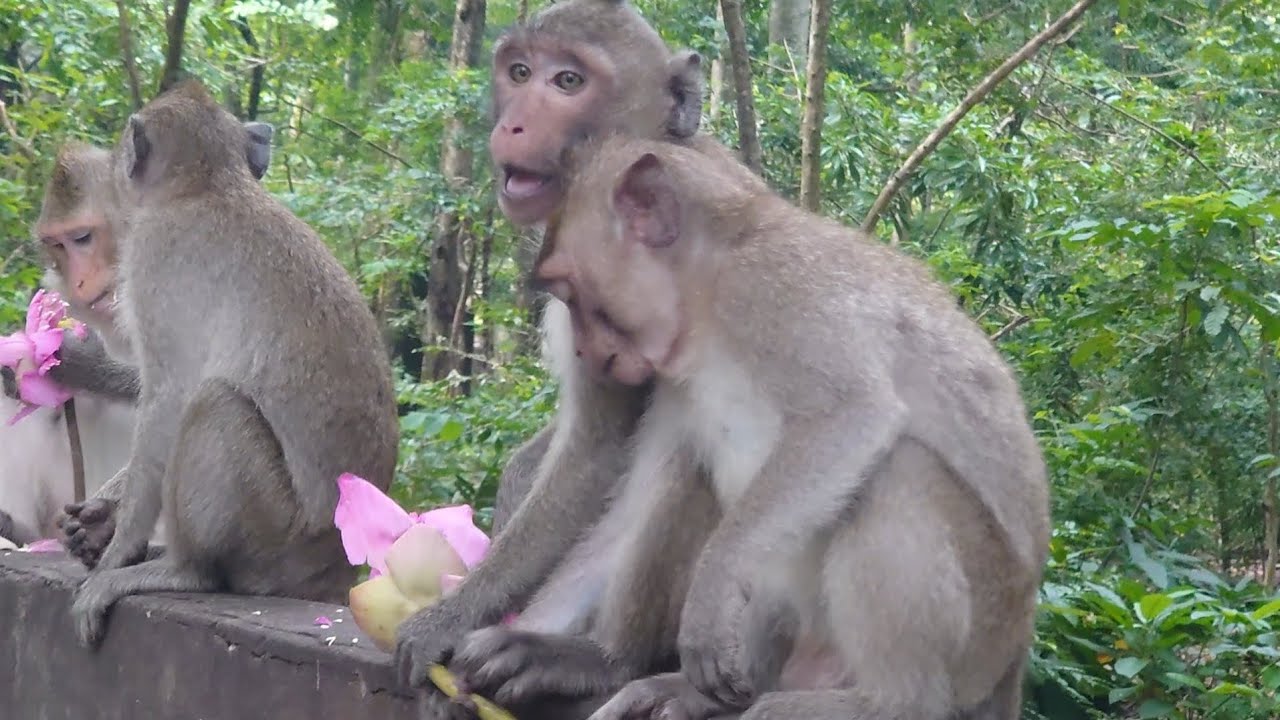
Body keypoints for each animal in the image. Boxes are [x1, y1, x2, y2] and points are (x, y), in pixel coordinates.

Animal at [66, 80, 399, 648]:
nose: (114, 168)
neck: (209, 185)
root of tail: (334, 572)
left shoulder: (151, 261)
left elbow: (168, 399)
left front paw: (116, 549)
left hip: (273, 532)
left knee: (214, 403)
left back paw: (184, 568)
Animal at [486, 134, 1052, 720]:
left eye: (573, 294)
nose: (580, 351)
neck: (706, 301)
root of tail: (1014, 657)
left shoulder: (771, 287)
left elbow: (851, 414)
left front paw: (708, 592)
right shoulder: (673, 380)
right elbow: (634, 499)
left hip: (980, 633)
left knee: (901, 468)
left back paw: (889, 702)